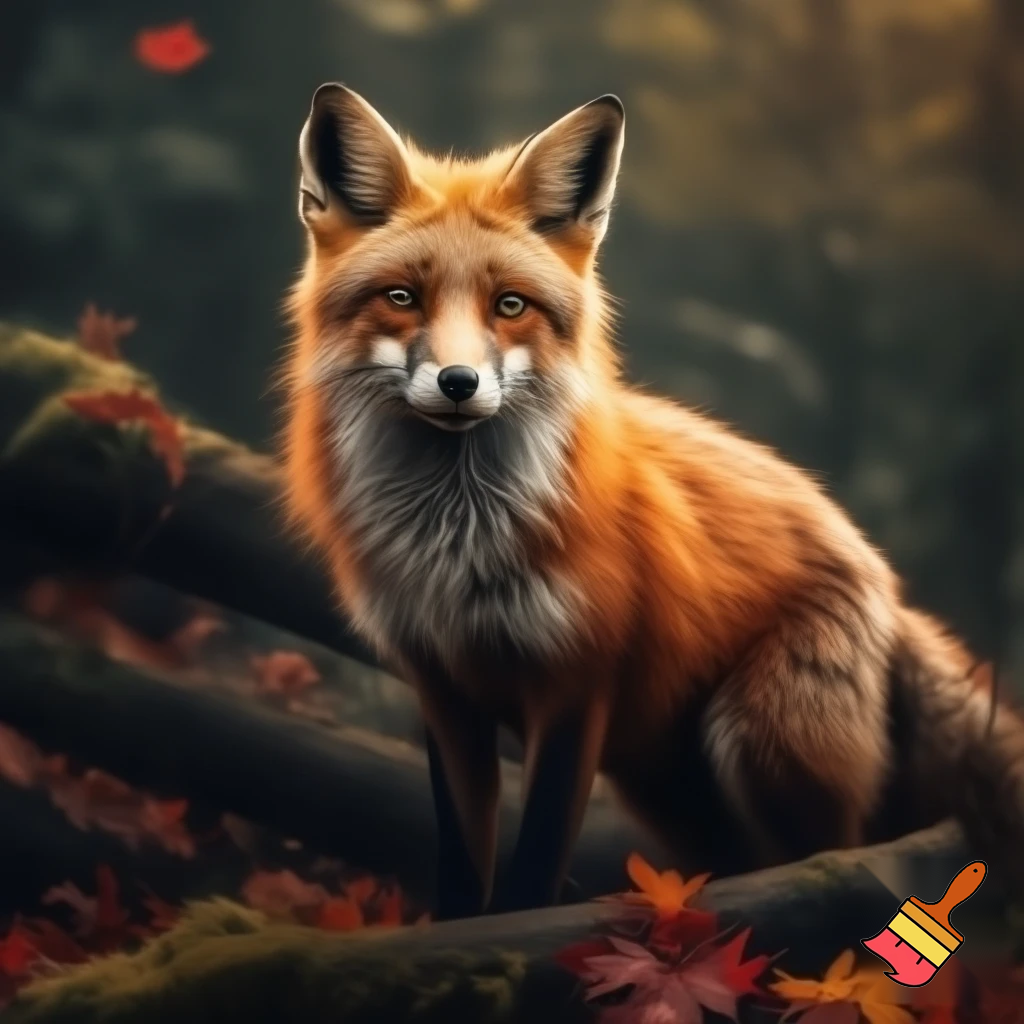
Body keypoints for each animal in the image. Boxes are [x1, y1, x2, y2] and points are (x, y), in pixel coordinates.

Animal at [282, 83, 1024, 920]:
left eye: (510, 306)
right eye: (402, 298)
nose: (459, 383)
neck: (456, 540)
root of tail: (886, 584)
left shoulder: (576, 687)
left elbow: (535, 864)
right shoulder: (443, 692)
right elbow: (462, 867)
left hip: (761, 747)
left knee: (840, 865)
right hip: (669, 788)